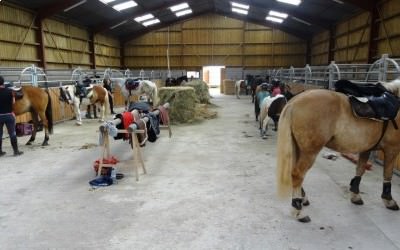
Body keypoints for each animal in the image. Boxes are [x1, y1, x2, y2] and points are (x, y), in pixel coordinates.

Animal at [276, 78, 400, 223]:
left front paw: (355, 196)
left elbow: (360, 170)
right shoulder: (392, 149)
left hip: (298, 148)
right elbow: (387, 174)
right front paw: (389, 201)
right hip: (309, 152)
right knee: (297, 174)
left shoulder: (367, 148)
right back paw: (298, 211)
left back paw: (302, 199)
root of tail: (293, 102)